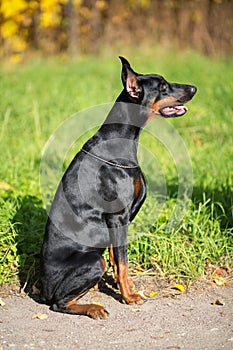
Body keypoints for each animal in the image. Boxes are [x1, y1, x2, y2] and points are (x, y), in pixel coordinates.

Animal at [40, 56, 197, 318]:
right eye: (163, 86)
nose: (194, 88)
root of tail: (40, 288)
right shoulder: (118, 216)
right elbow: (122, 261)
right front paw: (128, 296)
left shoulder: (119, 222)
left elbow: (117, 257)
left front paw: (127, 287)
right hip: (93, 261)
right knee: (59, 303)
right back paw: (93, 307)